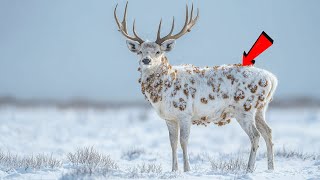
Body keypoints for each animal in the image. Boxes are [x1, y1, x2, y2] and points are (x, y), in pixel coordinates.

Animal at [115, 1, 278, 173]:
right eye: (140, 51)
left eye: (158, 51)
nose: (146, 60)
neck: (164, 91)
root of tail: (272, 79)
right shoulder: (169, 118)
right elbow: (172, 143)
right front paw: (174, 170)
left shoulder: (185, 113)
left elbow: (183, 141)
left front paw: (187, 169)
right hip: (260, 109)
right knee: (268, 132)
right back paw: (271, 168)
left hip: (245, 108)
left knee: (255, 135)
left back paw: (249, 169)